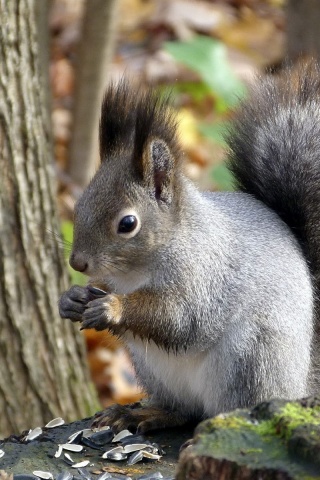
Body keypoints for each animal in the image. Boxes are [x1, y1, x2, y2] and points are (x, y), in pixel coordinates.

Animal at [58, 62, 320, 434]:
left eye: (128, 223)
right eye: (79, 206)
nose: (78, 263)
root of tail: (298, 384)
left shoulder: (204, 276)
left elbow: (181, 317)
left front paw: (113, 307)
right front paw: (73, 299)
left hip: (250, 359)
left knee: (226, 409)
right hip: (154, 370)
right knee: (184, 411)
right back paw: (143, 414)